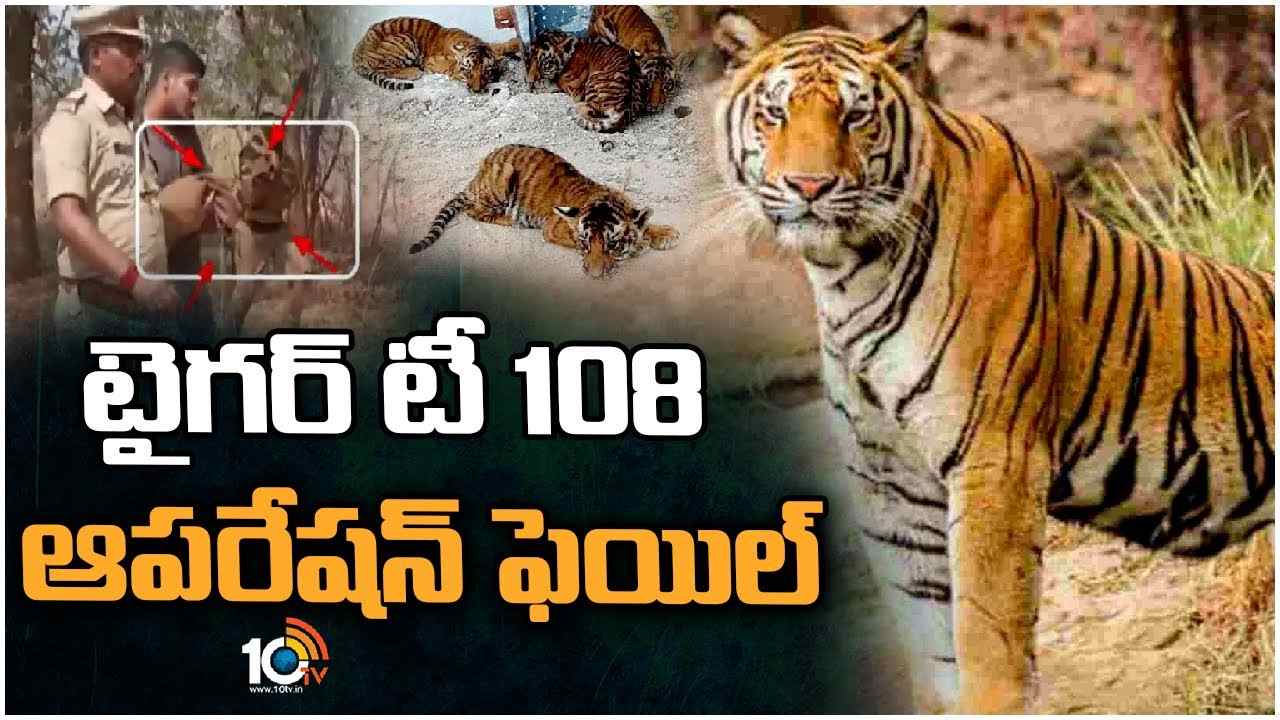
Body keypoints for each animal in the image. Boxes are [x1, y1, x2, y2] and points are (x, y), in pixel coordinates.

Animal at [352, 17, 517, 93]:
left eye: (486, 71)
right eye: (467, 71)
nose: (476, 90)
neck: (470, 41)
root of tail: (357, 50)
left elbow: (497, 46)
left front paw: (514, 43)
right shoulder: (431, 61)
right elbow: (450, 66)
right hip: (405, 39)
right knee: (381, 68)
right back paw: (413, 72)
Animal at [407, 144, 678, 278]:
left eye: (612, 244)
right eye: (585, 243)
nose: (594, 276)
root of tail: (477, 175)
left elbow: (643, 222)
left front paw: (664, 233)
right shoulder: (553, 228)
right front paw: (641, 246)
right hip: (501, 180)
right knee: (476, 210)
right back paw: (510, 219)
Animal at [713, 8, 1274, 714]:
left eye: (855, 115)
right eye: (776, 113)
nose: (809, 186)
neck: (847, 275)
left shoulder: (996, 459)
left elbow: (984, 624)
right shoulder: (887, 476)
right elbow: (927, 627)